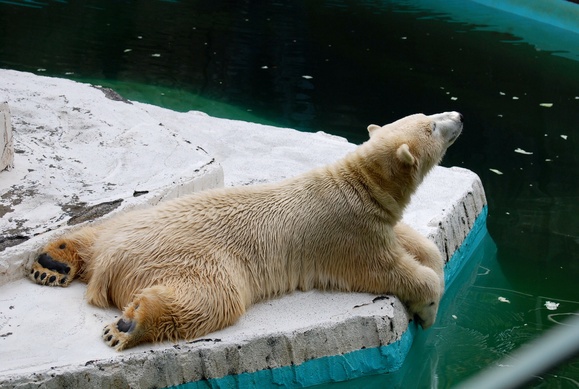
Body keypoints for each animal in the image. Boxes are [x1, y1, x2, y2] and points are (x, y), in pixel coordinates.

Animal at [29, 110, 462, 350]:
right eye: (431, 125)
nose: (458, 115)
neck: (358, 183)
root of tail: (113, 259)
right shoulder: (349, 236)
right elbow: (393, 269)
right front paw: (429, 308)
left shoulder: (372, 218)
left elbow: (410, 239)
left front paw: (430, 255)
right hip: (190, 258)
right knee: (213, 297)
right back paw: (130, 325)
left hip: (137, 218)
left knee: (100, 229)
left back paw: (53, 261)